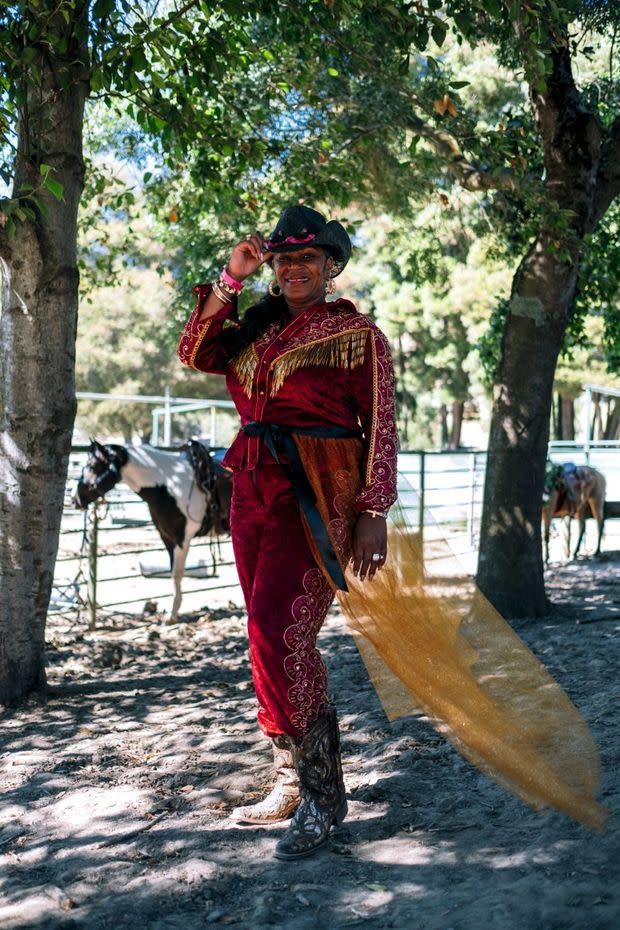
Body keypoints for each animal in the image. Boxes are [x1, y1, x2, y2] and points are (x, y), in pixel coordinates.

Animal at [74, 440, 232, 620]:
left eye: (94, 466)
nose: (76, 499)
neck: (169, 484)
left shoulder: (181, 539)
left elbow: (177, 574)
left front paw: (172, 615)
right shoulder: (167, 537)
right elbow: (172, 573)